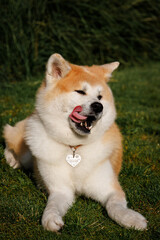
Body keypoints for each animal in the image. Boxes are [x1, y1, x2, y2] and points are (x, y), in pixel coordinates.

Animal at [3, 53, 148, 232]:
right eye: (80, 91)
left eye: (100, 97)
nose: (98, 106)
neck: (74, 146)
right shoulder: (60, 190)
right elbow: (52, 206)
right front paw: (50, 219)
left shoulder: (110, 188)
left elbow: (115, 206)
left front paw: (130, 218)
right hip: (25, 148)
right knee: (9, 136)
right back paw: (12, 159)